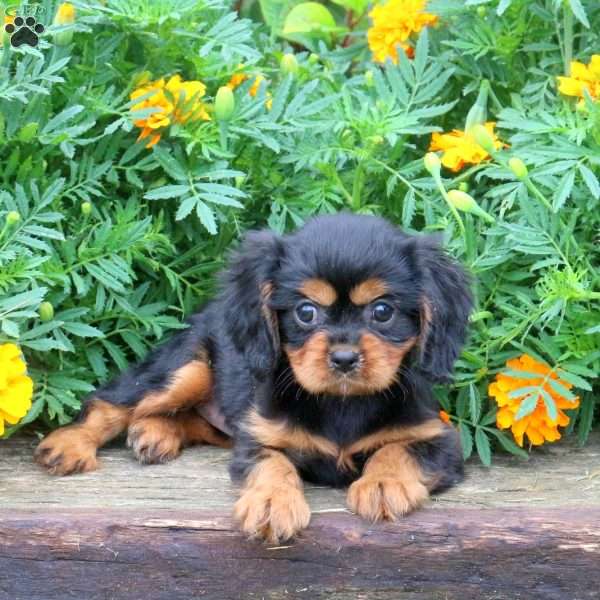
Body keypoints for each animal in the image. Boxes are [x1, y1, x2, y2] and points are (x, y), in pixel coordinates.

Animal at [35, 214, 472, 544]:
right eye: (306, 312)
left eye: (383, 311)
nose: (345, 358)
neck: (341, 402)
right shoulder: (257, 437)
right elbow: (272, 464)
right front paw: (272, 504)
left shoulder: (441, 441)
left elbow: (397, 450)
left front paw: (383, 484)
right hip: (187, 368)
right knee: (115, 402)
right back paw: (71, 444)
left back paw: (156, 434)